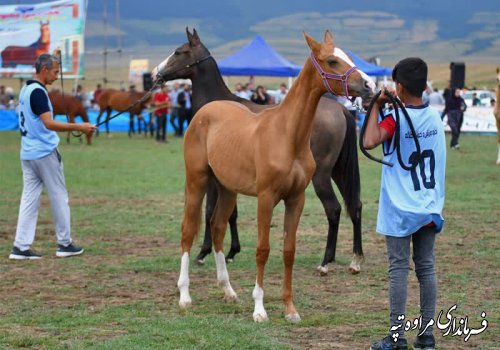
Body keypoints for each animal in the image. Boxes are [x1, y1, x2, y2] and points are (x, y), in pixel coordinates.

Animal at [174, 30, 374, 322]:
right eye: (332, 60)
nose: (369, 85)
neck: (287, 135)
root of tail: (204, 113)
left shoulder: (296, 199)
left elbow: (288, 251)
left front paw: (290, 309)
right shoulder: (265, 198)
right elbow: (263, 250)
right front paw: (259, 309)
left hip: (227, 188)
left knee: (218, 226)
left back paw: (228, 290)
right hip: (197, 181)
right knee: (188, 230)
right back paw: (185, 296)